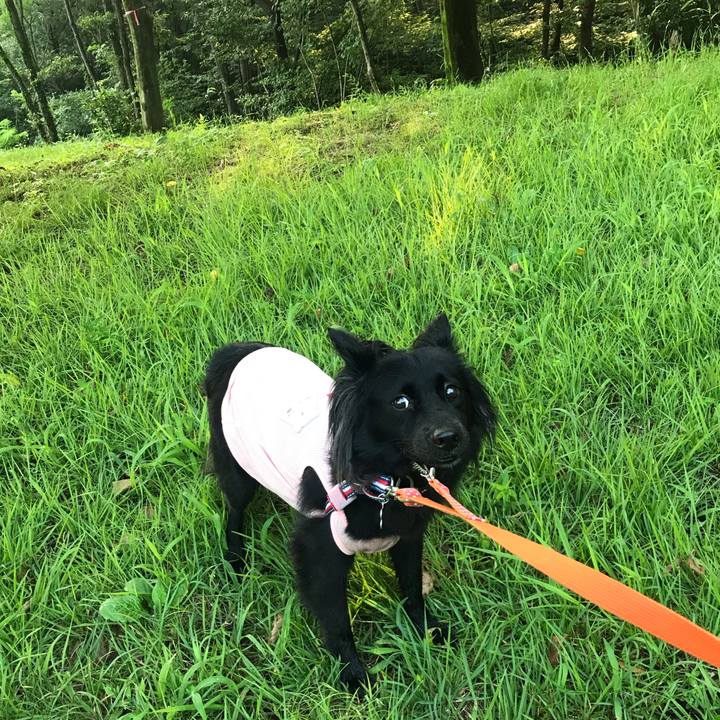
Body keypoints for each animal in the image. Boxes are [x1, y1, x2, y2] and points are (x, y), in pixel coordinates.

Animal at [204, 314, 495, 693]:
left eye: (452, 392)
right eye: (401, 403)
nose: (450, 437)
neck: (384, 478)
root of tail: (237, 353)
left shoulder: (408, 537)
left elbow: (412, 587)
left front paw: (427, 631)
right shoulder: (323, 553)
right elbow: (338, 620)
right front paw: (353, 675)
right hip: (237, 465)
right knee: (235, 509)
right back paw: (235, 558)